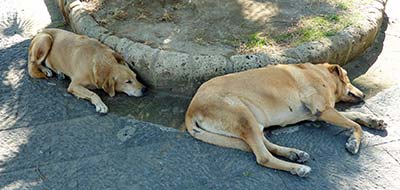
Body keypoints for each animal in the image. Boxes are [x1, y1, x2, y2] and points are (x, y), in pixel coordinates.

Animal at [187, 62, 388, 177]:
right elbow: (355, 125)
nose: (363, 95)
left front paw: (373, 120)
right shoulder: (323, 110)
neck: (320, 73)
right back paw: (297, 168)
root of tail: (191, 108)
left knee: (263, 144)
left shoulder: (320, 113)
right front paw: (354, 142)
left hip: (254, 121)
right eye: (347, 78)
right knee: (263, 157)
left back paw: (294, 154)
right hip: (244, 117)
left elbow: (354, 117)